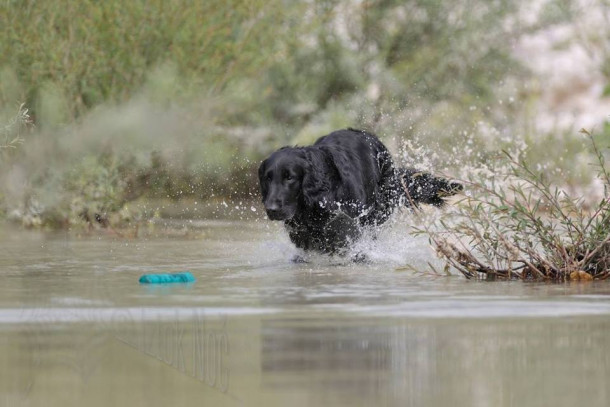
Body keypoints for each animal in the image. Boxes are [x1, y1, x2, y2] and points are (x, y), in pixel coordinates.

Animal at [258, 128, 460, 255]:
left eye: (289, 178)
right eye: (268, 178)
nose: (271, 209)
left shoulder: (351, 230)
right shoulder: (303, 237)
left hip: (378, 212)